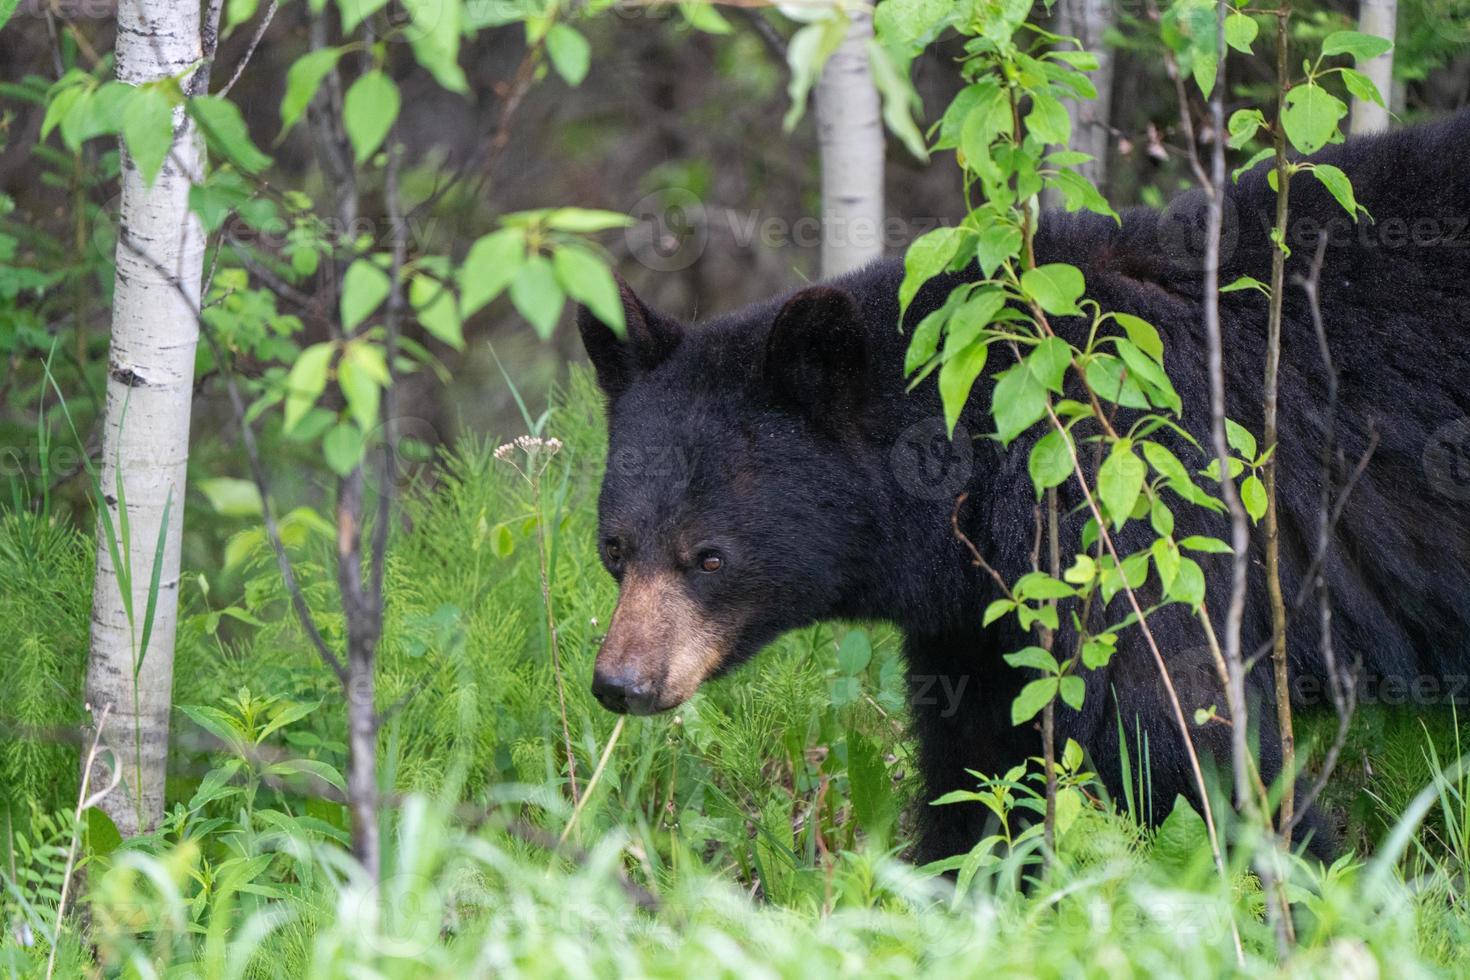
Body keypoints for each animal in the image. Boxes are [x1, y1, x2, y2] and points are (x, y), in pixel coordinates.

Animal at [573, 113, 1470, 863]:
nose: (621, 683)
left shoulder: (1130, 519)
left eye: (709, 557)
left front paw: (1302, 879)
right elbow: (981, 763)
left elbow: (1178, 731)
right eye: (614, 547)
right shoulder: (977, 618)